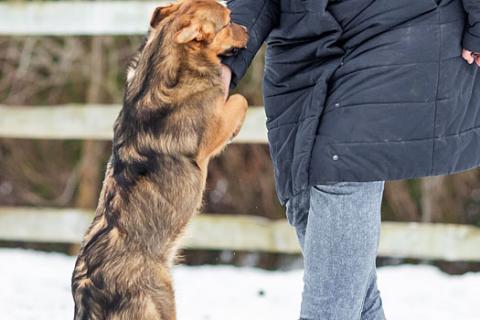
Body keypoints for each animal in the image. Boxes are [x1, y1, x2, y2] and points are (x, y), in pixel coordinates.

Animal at [72, 1, 249, 318]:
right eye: (228, 22)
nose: (249, 31)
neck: (161, 63)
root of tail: (88, 291)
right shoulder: (212, 130)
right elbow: (240, 100)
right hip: (161, 301)